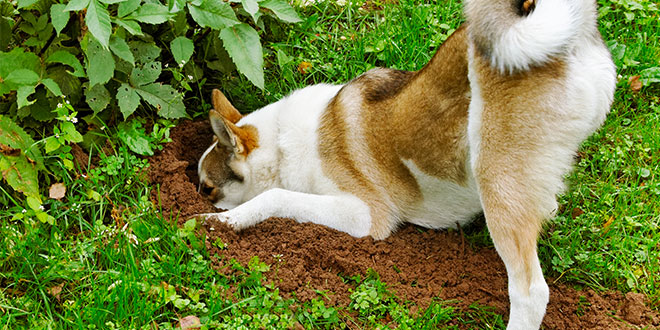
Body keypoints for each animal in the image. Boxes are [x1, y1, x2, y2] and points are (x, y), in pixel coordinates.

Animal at [193, 0, 616, 328]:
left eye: (207, 187)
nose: (200, 198)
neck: (280, 145)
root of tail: (571, 36)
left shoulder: (366, 215)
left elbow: (275, 197)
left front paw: (220, 223)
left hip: (497, 180)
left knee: (531, 292)